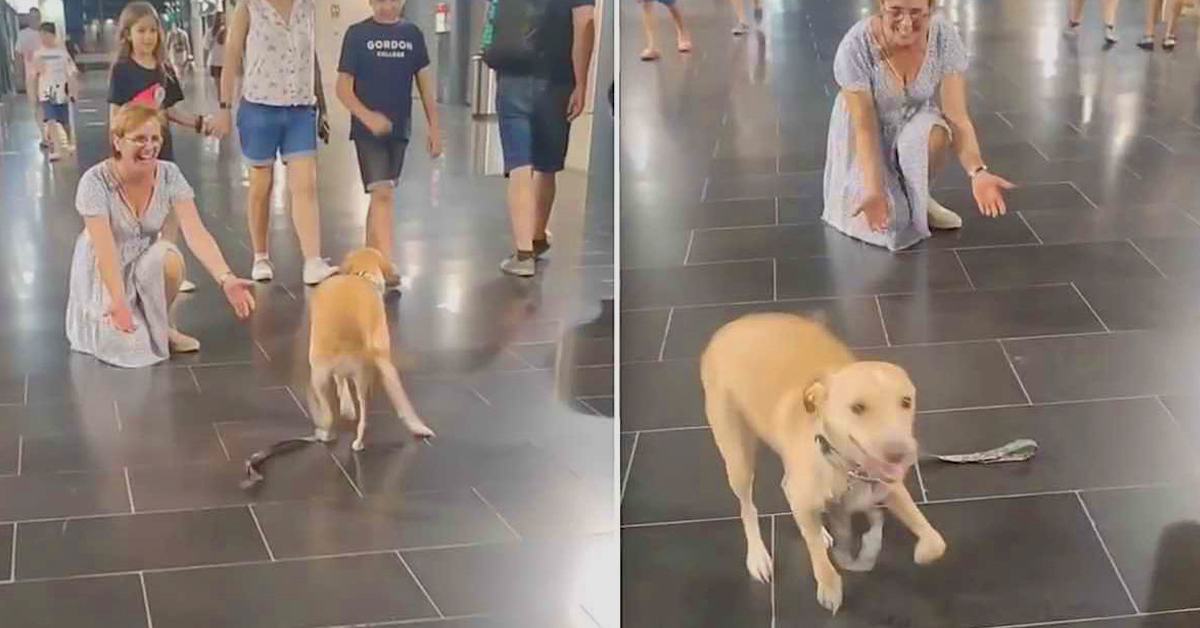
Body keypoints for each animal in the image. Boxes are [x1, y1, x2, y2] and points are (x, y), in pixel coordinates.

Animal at [700, 314, 940, 614]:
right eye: (857, 408)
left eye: (906, 402)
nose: (900, 454)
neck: (845, 464)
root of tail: (728, 329)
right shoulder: (806, 499)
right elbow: (815, 552)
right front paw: (829, 586)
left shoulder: (889, 487)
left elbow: (935, 541)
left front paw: (923, 550)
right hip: (737, 456)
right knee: (748, 508)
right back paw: (758, 556)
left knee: (786, 489)